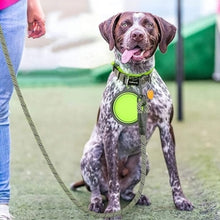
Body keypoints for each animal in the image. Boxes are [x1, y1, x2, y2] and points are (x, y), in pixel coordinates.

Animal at [71, 11, 193, 218]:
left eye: (148, 24)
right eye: (125, 24)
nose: (137, 35)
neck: (137, 80)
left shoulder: (166, 129)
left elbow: (174, 172)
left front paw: (180, 200)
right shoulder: (110, 134)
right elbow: (113, 179)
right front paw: (113, 209)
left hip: (144, 160)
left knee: (124, 191)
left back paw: (136, 197)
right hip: (92, 153)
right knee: (99, 188)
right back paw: (97, 202)